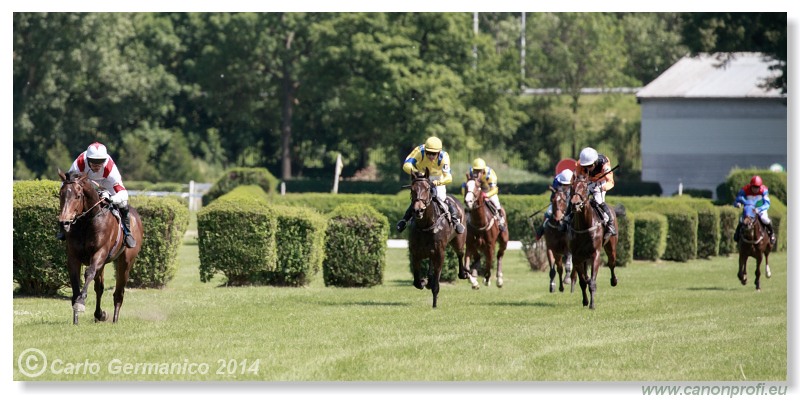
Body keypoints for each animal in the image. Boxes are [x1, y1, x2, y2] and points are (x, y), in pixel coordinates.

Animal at [57, 170, 144, 326]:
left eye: (78, 196)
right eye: (61, 194)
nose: (64, 222)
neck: (86, 223)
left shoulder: (99, 253)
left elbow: (89, 272)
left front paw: (80, 302)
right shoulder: (73, 257)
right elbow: (75, 281)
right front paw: (76, 318)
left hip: (126, 262)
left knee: (119, 292)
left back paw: (115, 319)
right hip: (103, 264)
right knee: (99, 288)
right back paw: (99, 314)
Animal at [406, 169, 468, 308]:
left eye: (428, 188)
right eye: (412, 189)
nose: (418, 210)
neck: (426, 226)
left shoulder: (440, 253)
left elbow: (436, 284)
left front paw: (434, 305)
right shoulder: (415, 253)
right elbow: (416, 282)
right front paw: (424, 282)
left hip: (459, 240)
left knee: (460, 253)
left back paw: (463, 273)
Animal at [564, 175, 620, 310]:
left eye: (585, 188)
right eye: (572, 188)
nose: (575, 204)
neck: (584, 226)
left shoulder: (595, 254)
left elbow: (593, 281)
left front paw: (592, 304)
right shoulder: (577, 257)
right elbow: (583, 281)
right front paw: (585, 302)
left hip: (611, 247)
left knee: (611, 263)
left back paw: (614, 281)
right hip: (584, 257)